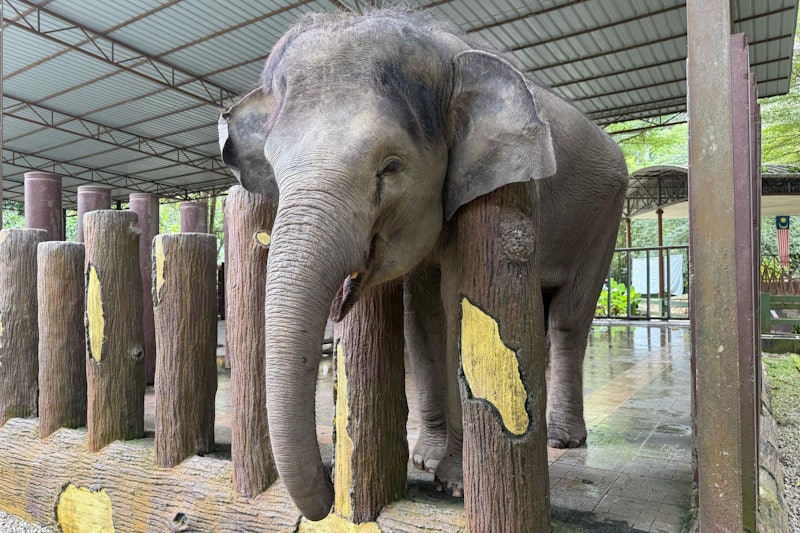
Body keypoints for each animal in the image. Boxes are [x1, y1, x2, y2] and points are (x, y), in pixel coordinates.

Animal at [219, 10, 628, 521]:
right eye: (273, 168)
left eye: (391, 167)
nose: (331, 487)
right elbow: (423, 320)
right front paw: (425, 461)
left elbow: (458, 313)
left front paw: (453, 484)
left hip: (606, 214)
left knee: (570, 319)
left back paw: (562, 440)